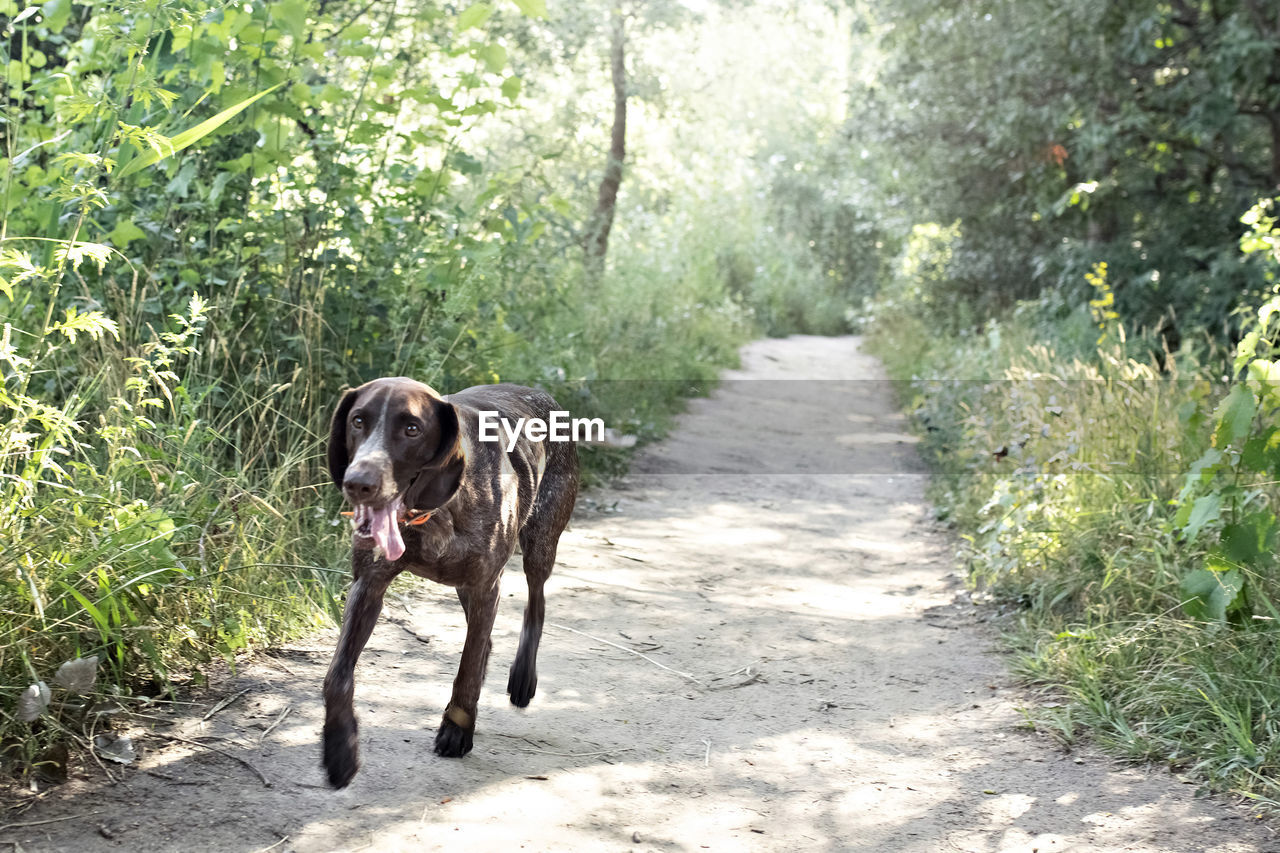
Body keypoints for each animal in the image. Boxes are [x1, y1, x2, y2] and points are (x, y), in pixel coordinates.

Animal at [322, 376, 578, 788]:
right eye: (358, 421)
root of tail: (545, 395)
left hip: (540, 542)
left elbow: (468, 670)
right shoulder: (368, 586)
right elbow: (337, 676)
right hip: (466, 584)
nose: (357, 483)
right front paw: (340, 748)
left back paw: (523, 675)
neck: (432, 510)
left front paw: (457, 727)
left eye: (412, 428)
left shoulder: (486, 586)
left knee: (535, 603)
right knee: (486, 636)